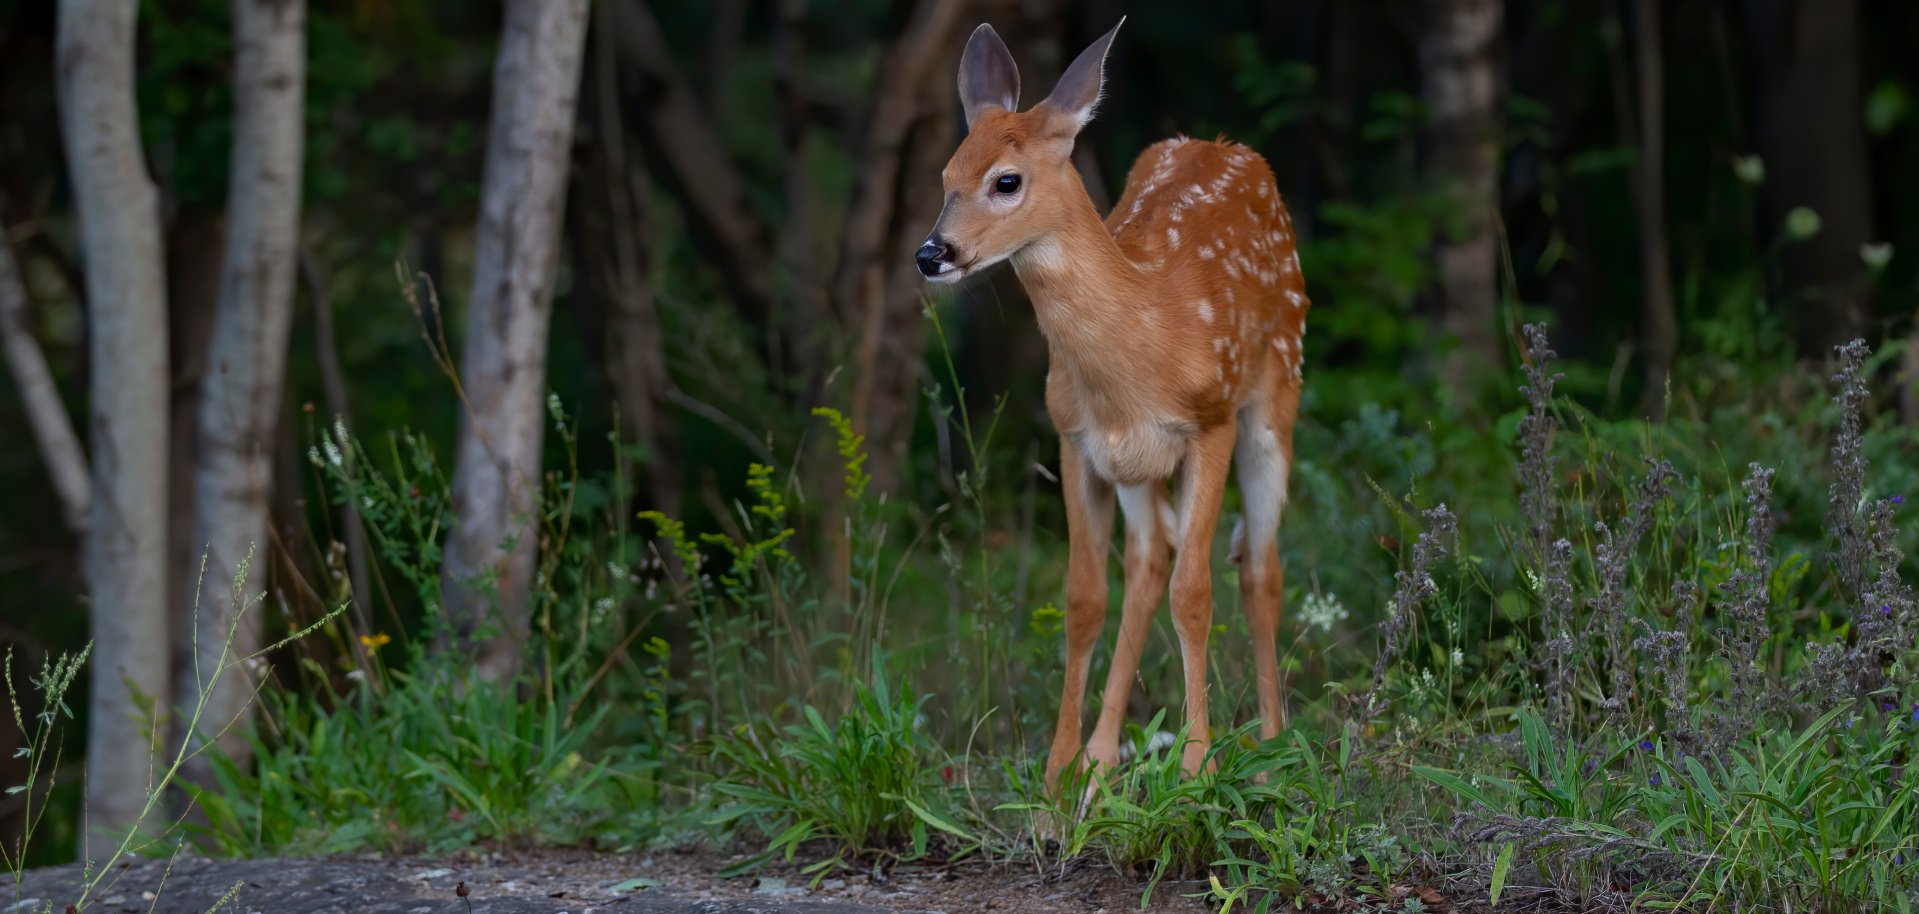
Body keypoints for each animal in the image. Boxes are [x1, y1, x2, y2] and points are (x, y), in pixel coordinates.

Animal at [916, 19, 1309, 794]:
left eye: (1005, 181)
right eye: (946, 177)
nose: (930, 253)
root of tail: (1228, 146)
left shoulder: (1209, 421)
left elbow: (1195, 593)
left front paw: (1196, 766)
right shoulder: (1076, 440)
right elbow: (1084, 598)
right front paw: (1057, 779)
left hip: (1276, 398)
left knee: (1259, 567)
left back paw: (1271, 747)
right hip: (1134, 466)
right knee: (1150, 558)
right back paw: (1103, 759)